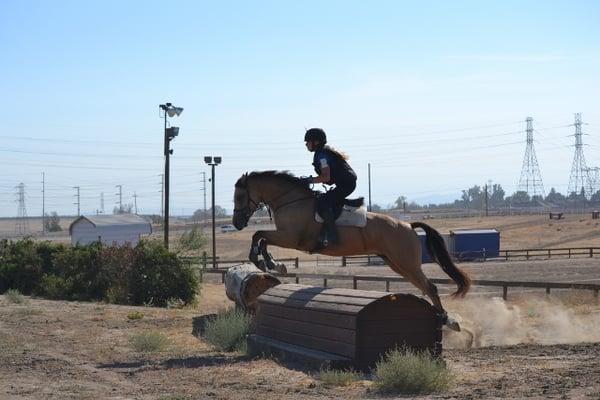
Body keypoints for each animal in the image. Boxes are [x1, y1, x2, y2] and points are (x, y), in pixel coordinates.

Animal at [232, 170, 472, 330]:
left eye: (239, 196)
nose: (236, 223)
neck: (290, 200)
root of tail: (408, 225)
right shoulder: (286, 237)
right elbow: (261, 237)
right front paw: (271, 263)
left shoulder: (292, 238)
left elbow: (260, 236)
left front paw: (268, 263)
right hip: (396, 263)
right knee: (424, 287)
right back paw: (445, 318)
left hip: (406, 262)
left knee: (430, 286)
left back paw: (446, 320)